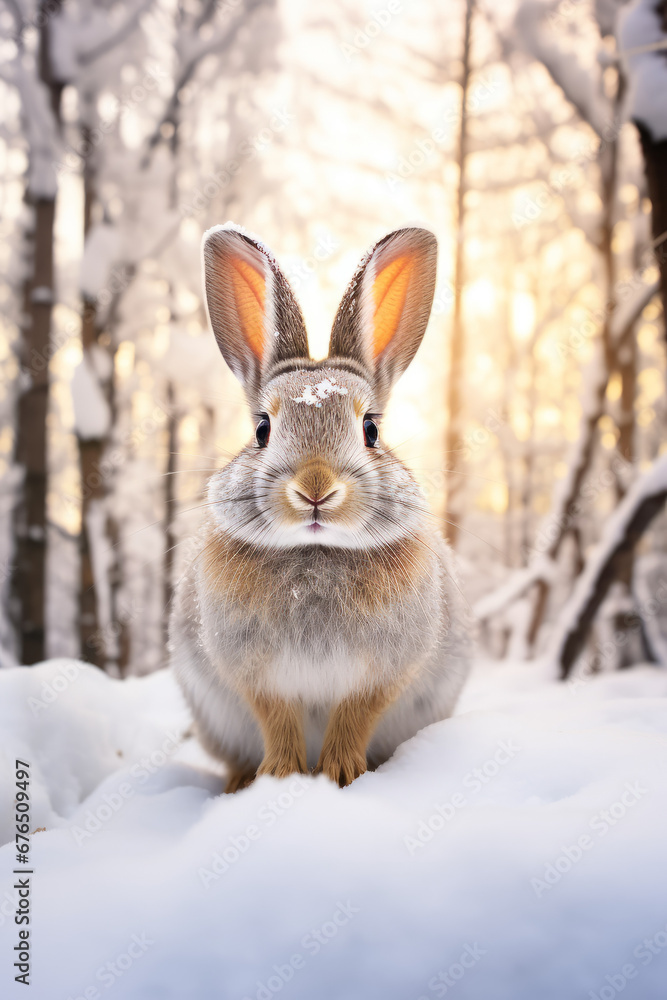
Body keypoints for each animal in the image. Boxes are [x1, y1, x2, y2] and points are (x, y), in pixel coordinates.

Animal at [169, 222, 470, 790]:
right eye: (262, 430)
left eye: (370, 429)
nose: (315, 486)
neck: (315, 554)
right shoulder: (259, 676)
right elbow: (278, 720)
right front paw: (281, 776)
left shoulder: (382, 674)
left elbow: (354, 716)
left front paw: (341, 773)